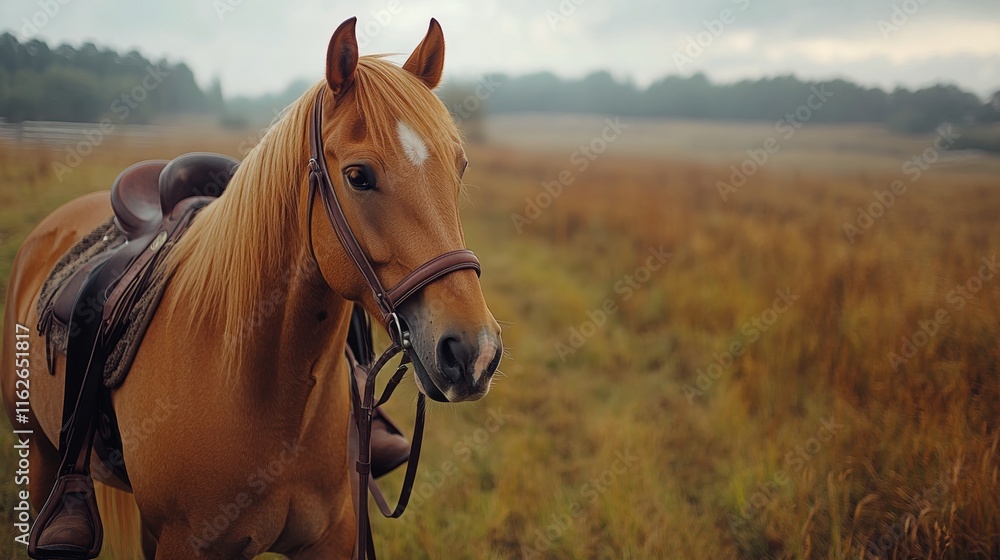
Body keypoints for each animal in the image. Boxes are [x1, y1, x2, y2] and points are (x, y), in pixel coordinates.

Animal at [1, 17, 502, 559]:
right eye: (358, 176)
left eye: (459, 167)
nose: (474, 350)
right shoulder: (187, 543)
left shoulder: (331, 536)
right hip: (38, 449)